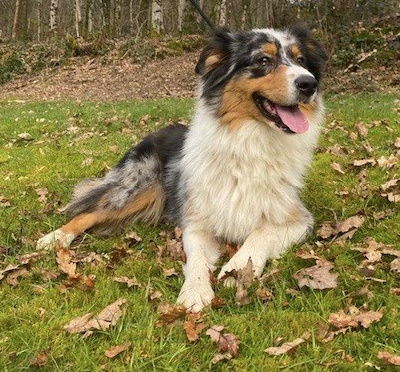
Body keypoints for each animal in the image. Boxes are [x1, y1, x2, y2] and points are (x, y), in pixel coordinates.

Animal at [36, 24, 328, 312]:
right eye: (263, 60)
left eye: (301, 60)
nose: (308, 83)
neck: (250, 143)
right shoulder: (197, 219)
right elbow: (196, 259)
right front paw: (195, 292)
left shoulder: (298, 218)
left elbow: (260, 233)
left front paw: (236, 269)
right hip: (140, 186)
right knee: (89, 212)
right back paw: (55, 238)